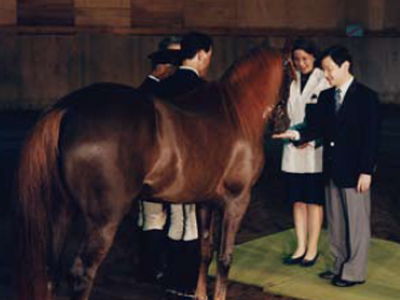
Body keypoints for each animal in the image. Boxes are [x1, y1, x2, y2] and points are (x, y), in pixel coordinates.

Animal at [16, 48, 290, 300]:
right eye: (291, 77)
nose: (284, 124)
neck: (237, 112)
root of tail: (68, 108)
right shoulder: (237, 201)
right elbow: (224, 258)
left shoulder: (205, 202)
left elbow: (205, 251)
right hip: (103, 220)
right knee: (81, 273)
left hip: (61, 211)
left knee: (50, 272)